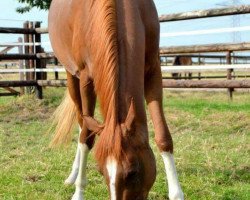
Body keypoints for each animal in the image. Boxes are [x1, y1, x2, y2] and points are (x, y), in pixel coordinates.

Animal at [48, 0, 184, 200]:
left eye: (133, 172)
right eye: (101, 171)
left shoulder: (153, 68)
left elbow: (163, 137)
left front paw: (176, 193)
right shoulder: (86, 79)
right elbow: (86, 139)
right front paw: (79, 192)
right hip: (71, 75)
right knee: (82, 124)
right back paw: (73, 175)